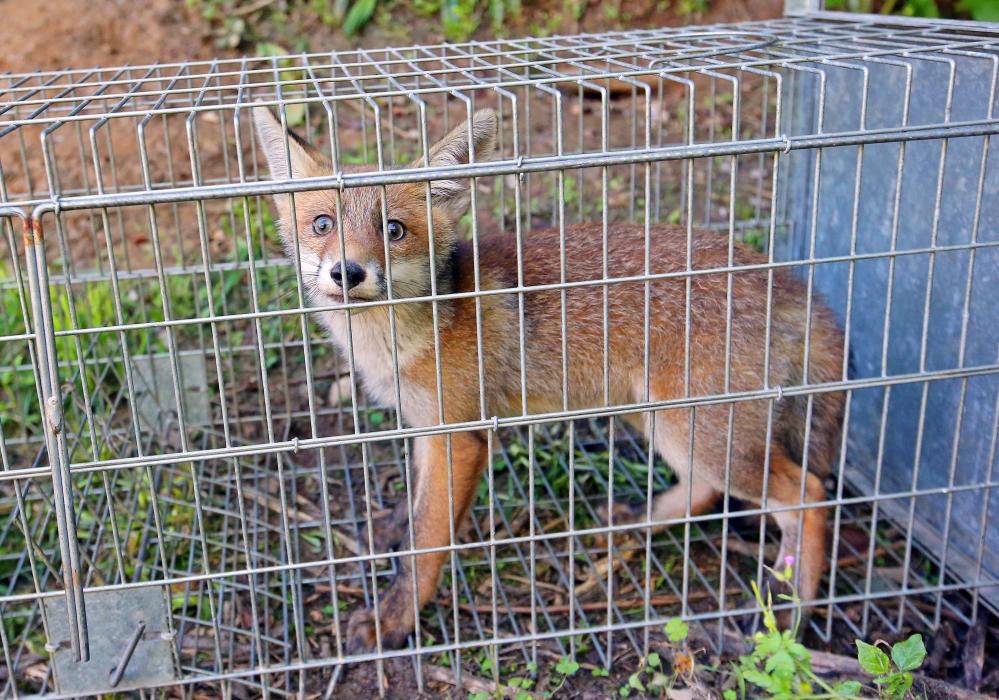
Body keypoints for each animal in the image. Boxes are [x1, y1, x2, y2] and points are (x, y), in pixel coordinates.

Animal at [252, 104, 844, 652]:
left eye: (392, 230)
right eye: (322, 224)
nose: (347, 272)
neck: (410, 336)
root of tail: (783, 280)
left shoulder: (461, 437)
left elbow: (427, 542)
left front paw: (393, 618)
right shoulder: (427, 427)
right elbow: (415, 504)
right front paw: (392, 527)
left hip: (703, 432)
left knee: (809, 496)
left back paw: (790, 614)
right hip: (665, 422)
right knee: (706, 488)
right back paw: (634, 523)